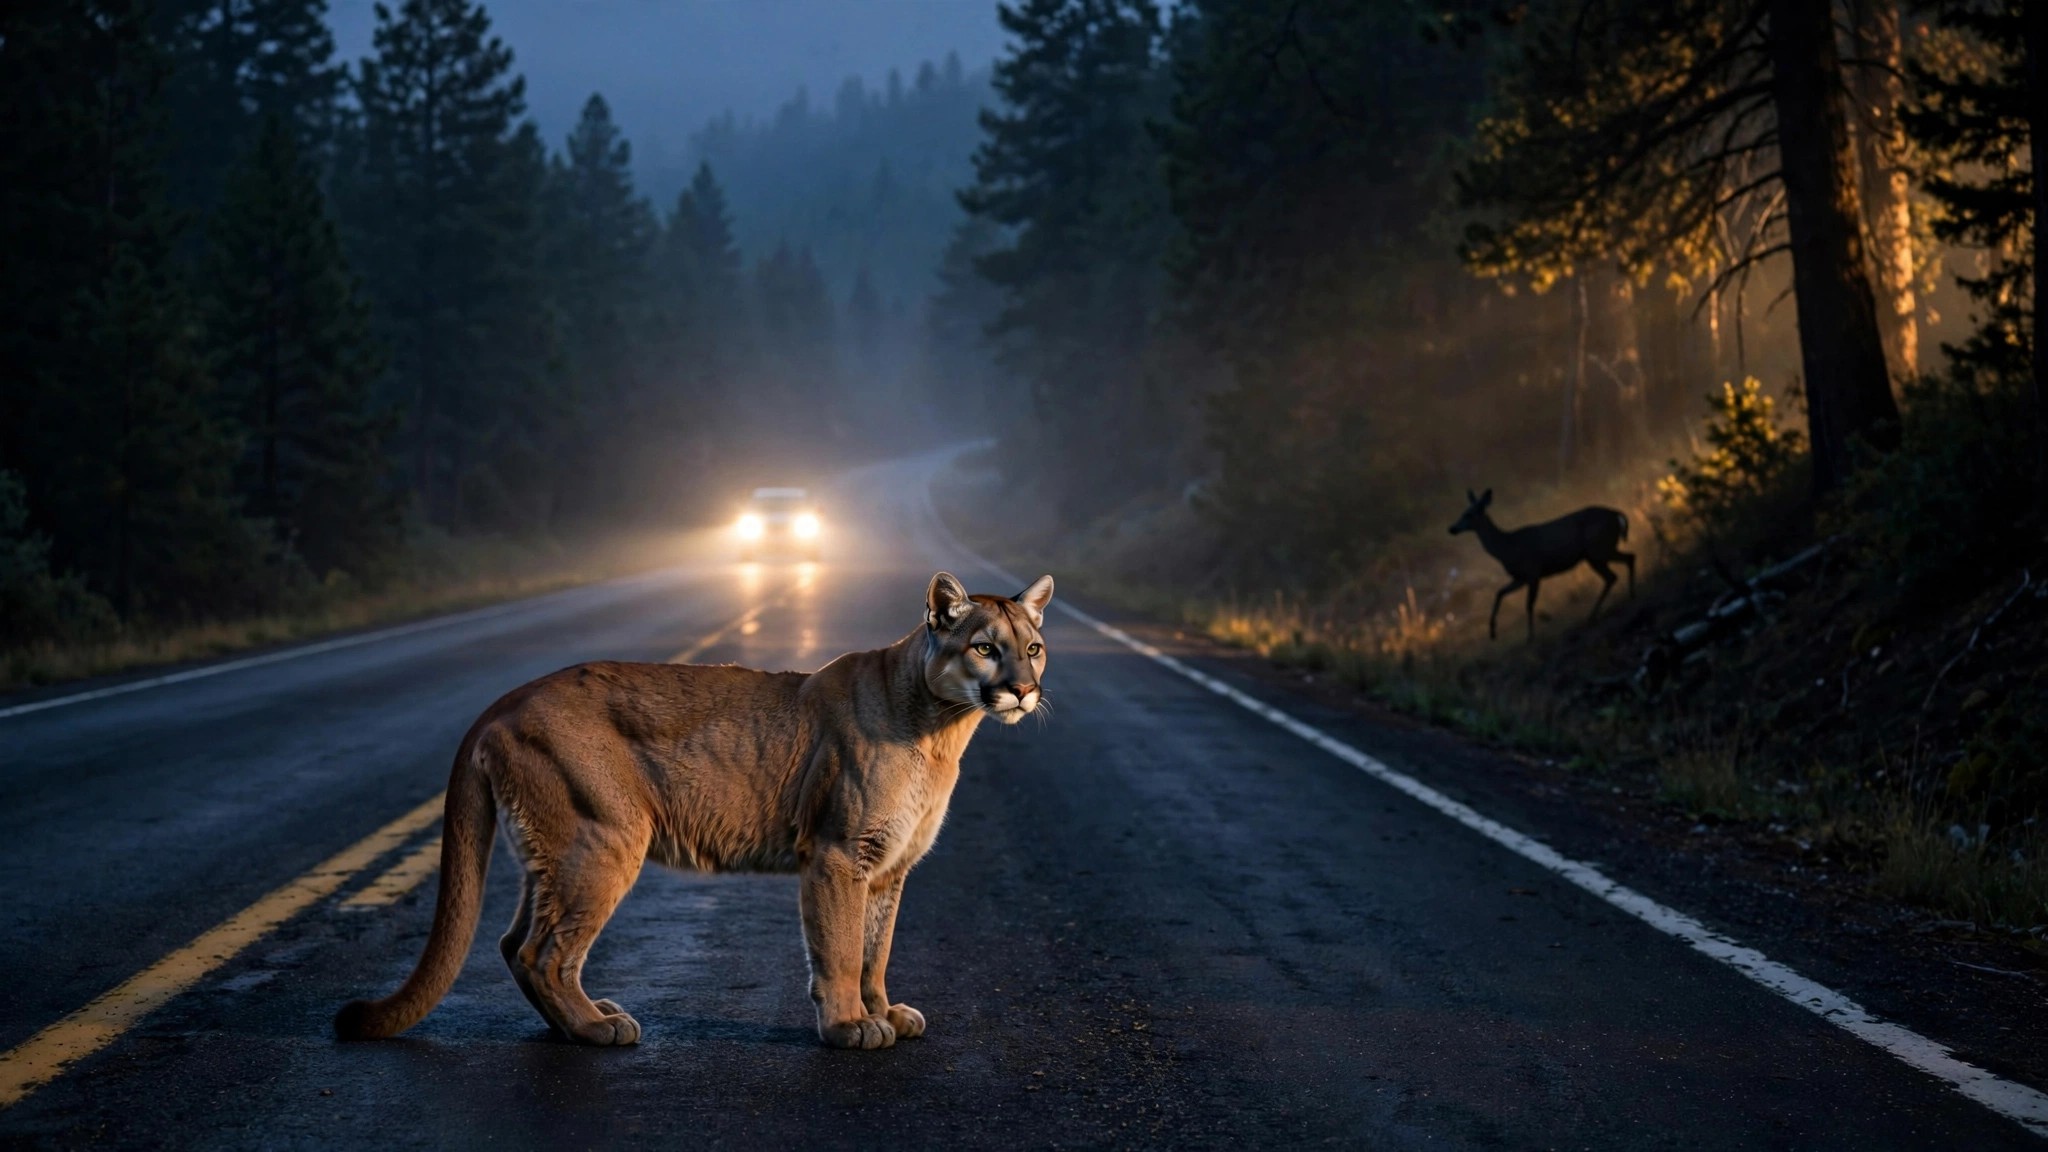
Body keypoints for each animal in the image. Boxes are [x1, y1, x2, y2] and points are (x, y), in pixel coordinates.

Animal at [1449, 489, 1634, 642]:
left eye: (1469, 514)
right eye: (1463, 512)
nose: (1452, 528)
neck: (1506, 548)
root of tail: (1616, 514)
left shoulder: (1533, 572)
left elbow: (1528, 605)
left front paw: (1530, 637)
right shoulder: (1520, 577)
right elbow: (1499, 593)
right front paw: (1493, 632)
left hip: (1598, 549)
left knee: (1618, 569)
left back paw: (1605, 607)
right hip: (1598, 552)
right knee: (1622, 565)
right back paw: (1616, 601)